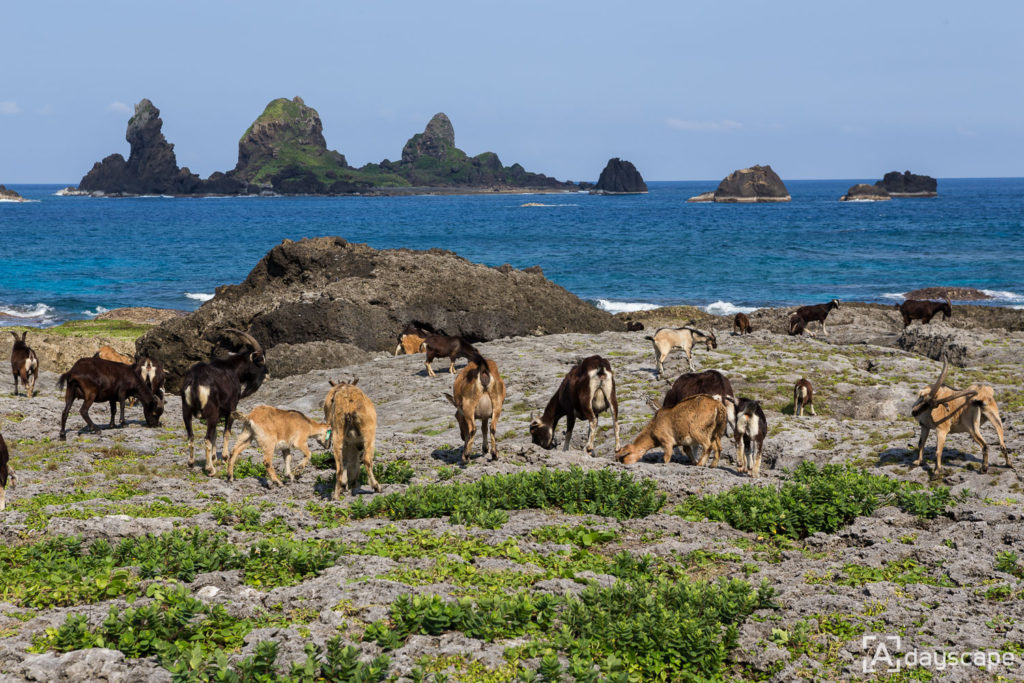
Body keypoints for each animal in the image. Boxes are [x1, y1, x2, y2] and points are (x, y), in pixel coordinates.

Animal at [181, 329, 268, 475]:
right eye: (260, 361)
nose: (267, 374)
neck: (232, 369)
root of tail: (196, 380)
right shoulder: (231, 409)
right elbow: (226, 432)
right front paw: (225, 458)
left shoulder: (217, 415)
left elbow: (215, 434)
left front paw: (214, 457)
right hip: (210, 412)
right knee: (206, 439)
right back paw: (210, 469)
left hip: (186, 411)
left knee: (191, 436)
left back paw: (191, 463)